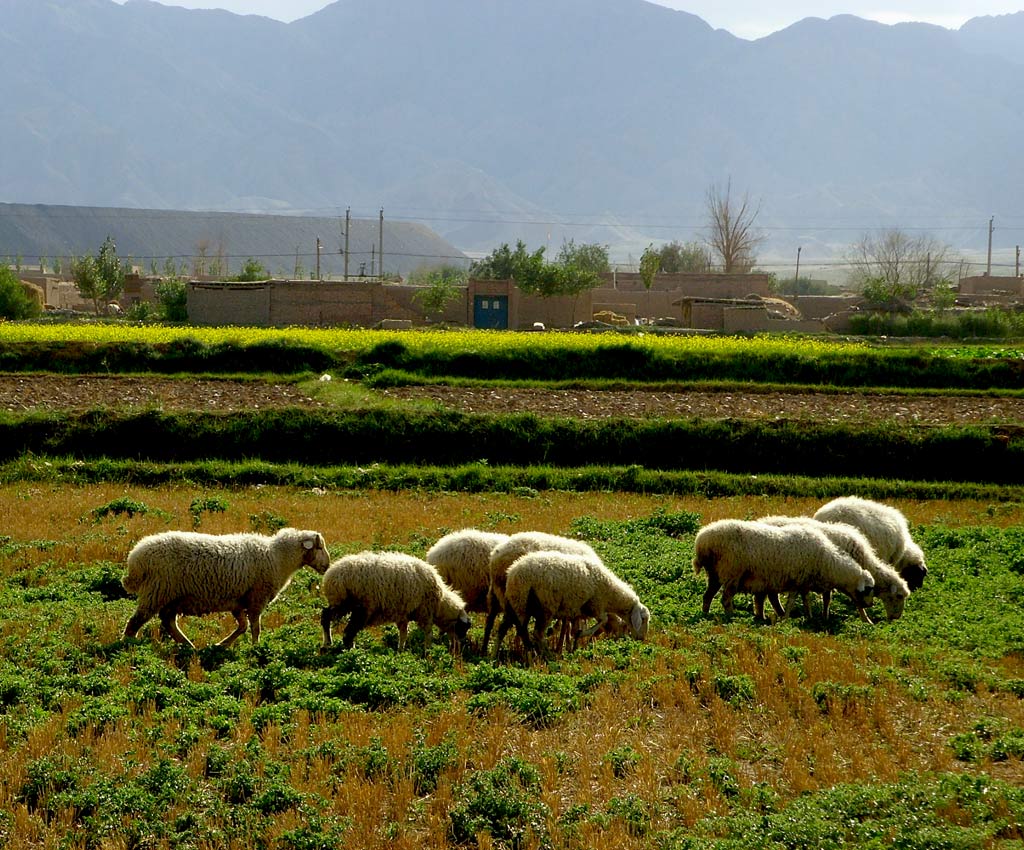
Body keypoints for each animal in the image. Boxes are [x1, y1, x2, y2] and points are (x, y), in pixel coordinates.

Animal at [120, 528, 329, 647]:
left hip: (172, 597)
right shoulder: (257, 598)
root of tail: (136, 558)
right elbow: (255, 628)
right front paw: (256, 648)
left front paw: (221, 645)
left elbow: (243, 627)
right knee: (135, 622)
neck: (278, 557)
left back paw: (188, 646)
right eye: (319, 547)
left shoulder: (238, 601)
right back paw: (128, 646)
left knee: (168, 621)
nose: (327, 566)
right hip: (157, 591)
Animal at [319, 548, 471, 655]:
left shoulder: (403, 615)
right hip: (358, 606)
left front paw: (400, 650)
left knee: (326, 616)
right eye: (462, 628)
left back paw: (328, 643)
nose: (457, 649)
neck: (440, 603)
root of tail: (331, 577)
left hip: (340, 602)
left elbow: (403, 633)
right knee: (348, 631)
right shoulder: (425, 613)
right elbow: (428, 634)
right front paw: (427, 651)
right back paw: (351, 650)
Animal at [489, 553, 647, 659]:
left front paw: (574, 646)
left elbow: (573, 629)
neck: (609, 592)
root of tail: (513, 573)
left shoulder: (575, 610)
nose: (641, 639)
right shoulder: (595, 605)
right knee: (535, 633)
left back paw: (494, 656)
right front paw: (582, 635)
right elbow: (603, 620)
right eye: (644, 619)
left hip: (516, 603)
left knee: (504, 628)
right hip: (545, 606)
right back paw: (545, 655)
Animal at [688, 516, 872, 622]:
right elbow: (792, 600)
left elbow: (805, 600)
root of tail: (702, 540)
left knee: (707, 596)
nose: (870, 605)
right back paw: (730, 617)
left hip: (714, 574)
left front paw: (809, 617)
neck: (828, 562)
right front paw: (786, 618)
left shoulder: (802, 583)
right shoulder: (797, 580)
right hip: (732, 572)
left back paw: (705, 615)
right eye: (869, 589)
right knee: (725, 599)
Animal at [761, 516, 913, 622]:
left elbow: (828, 598)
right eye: (899, 596)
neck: (863, 560)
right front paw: (866, 620)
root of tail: (765, 519)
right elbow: (855, 602)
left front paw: (824, 616)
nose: (896, 617)